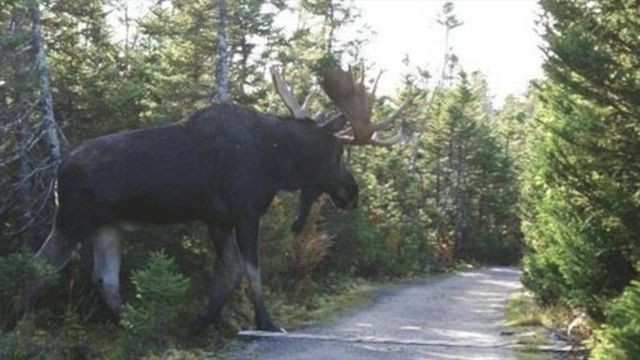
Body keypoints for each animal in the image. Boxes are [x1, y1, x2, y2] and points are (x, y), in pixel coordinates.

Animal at [17, 65, 410, 332]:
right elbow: (251, 270)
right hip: (72, 220)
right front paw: (265, 322)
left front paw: (201, 322)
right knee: (36, 269)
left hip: (107, 226)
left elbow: (230, 271)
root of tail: (58, 170)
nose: (352, 193)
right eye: (337, 153)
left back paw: (138, 326)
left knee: (105, 278)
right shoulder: (245, 212)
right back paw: (20, 326)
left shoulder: (216, 218)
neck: (278, 160)